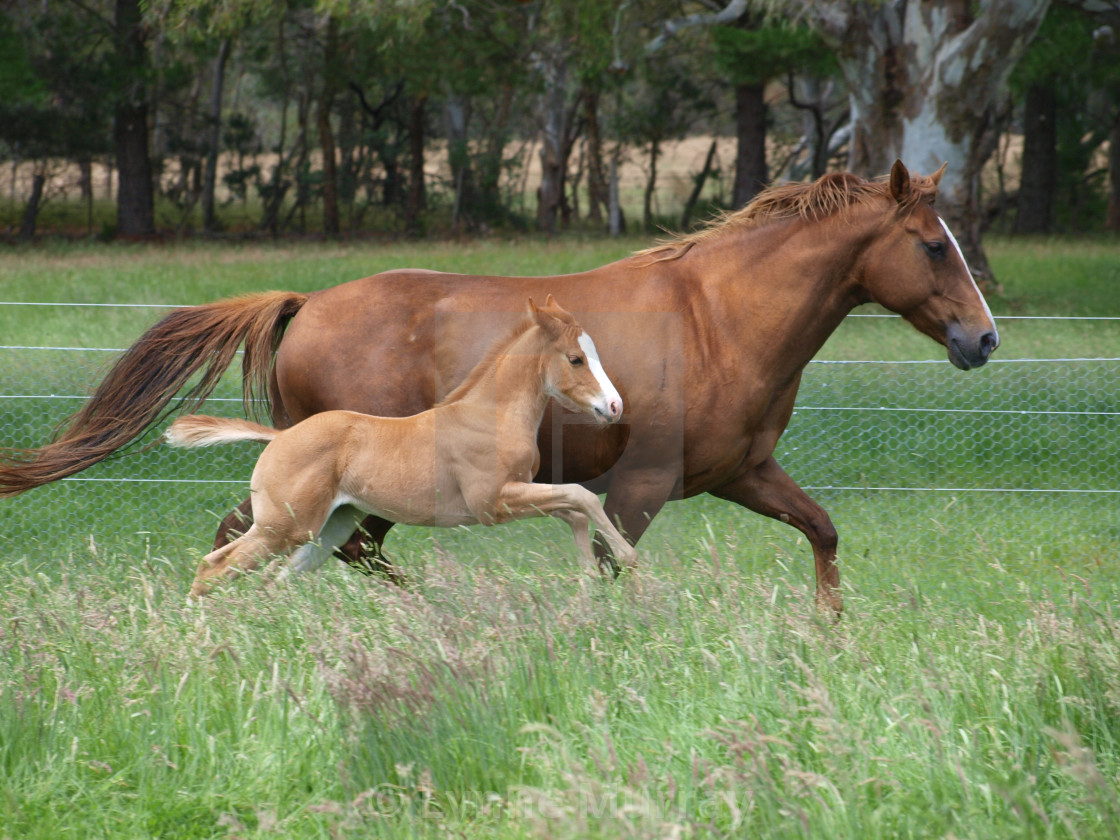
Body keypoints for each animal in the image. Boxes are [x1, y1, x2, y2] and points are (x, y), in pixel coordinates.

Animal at [166, 295, 640, 600]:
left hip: (328, 528)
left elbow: (575, 509)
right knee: (214, 567)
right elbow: (580, 498)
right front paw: (628, 559)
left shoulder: (523, 492)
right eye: (576, 359)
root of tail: (280, 435)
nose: (614, 406)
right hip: (283, 528)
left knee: (276, 578)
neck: (489, 416)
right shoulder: (494, 503)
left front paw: (588, 583)